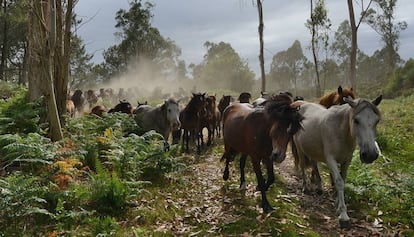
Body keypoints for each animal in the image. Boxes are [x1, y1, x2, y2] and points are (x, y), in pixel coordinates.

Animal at [292, 95, 382, 229]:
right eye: (356, 120)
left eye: (376, 121)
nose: (370, 155)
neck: (340, 130)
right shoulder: (331, 160)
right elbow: (339, 182)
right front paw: (343, 216)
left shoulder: (347, 161)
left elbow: (343, 180)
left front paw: (337, 204)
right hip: (300, 149)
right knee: (303, 165)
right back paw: (306, 187)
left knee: (314, 165)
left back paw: (319, 188)